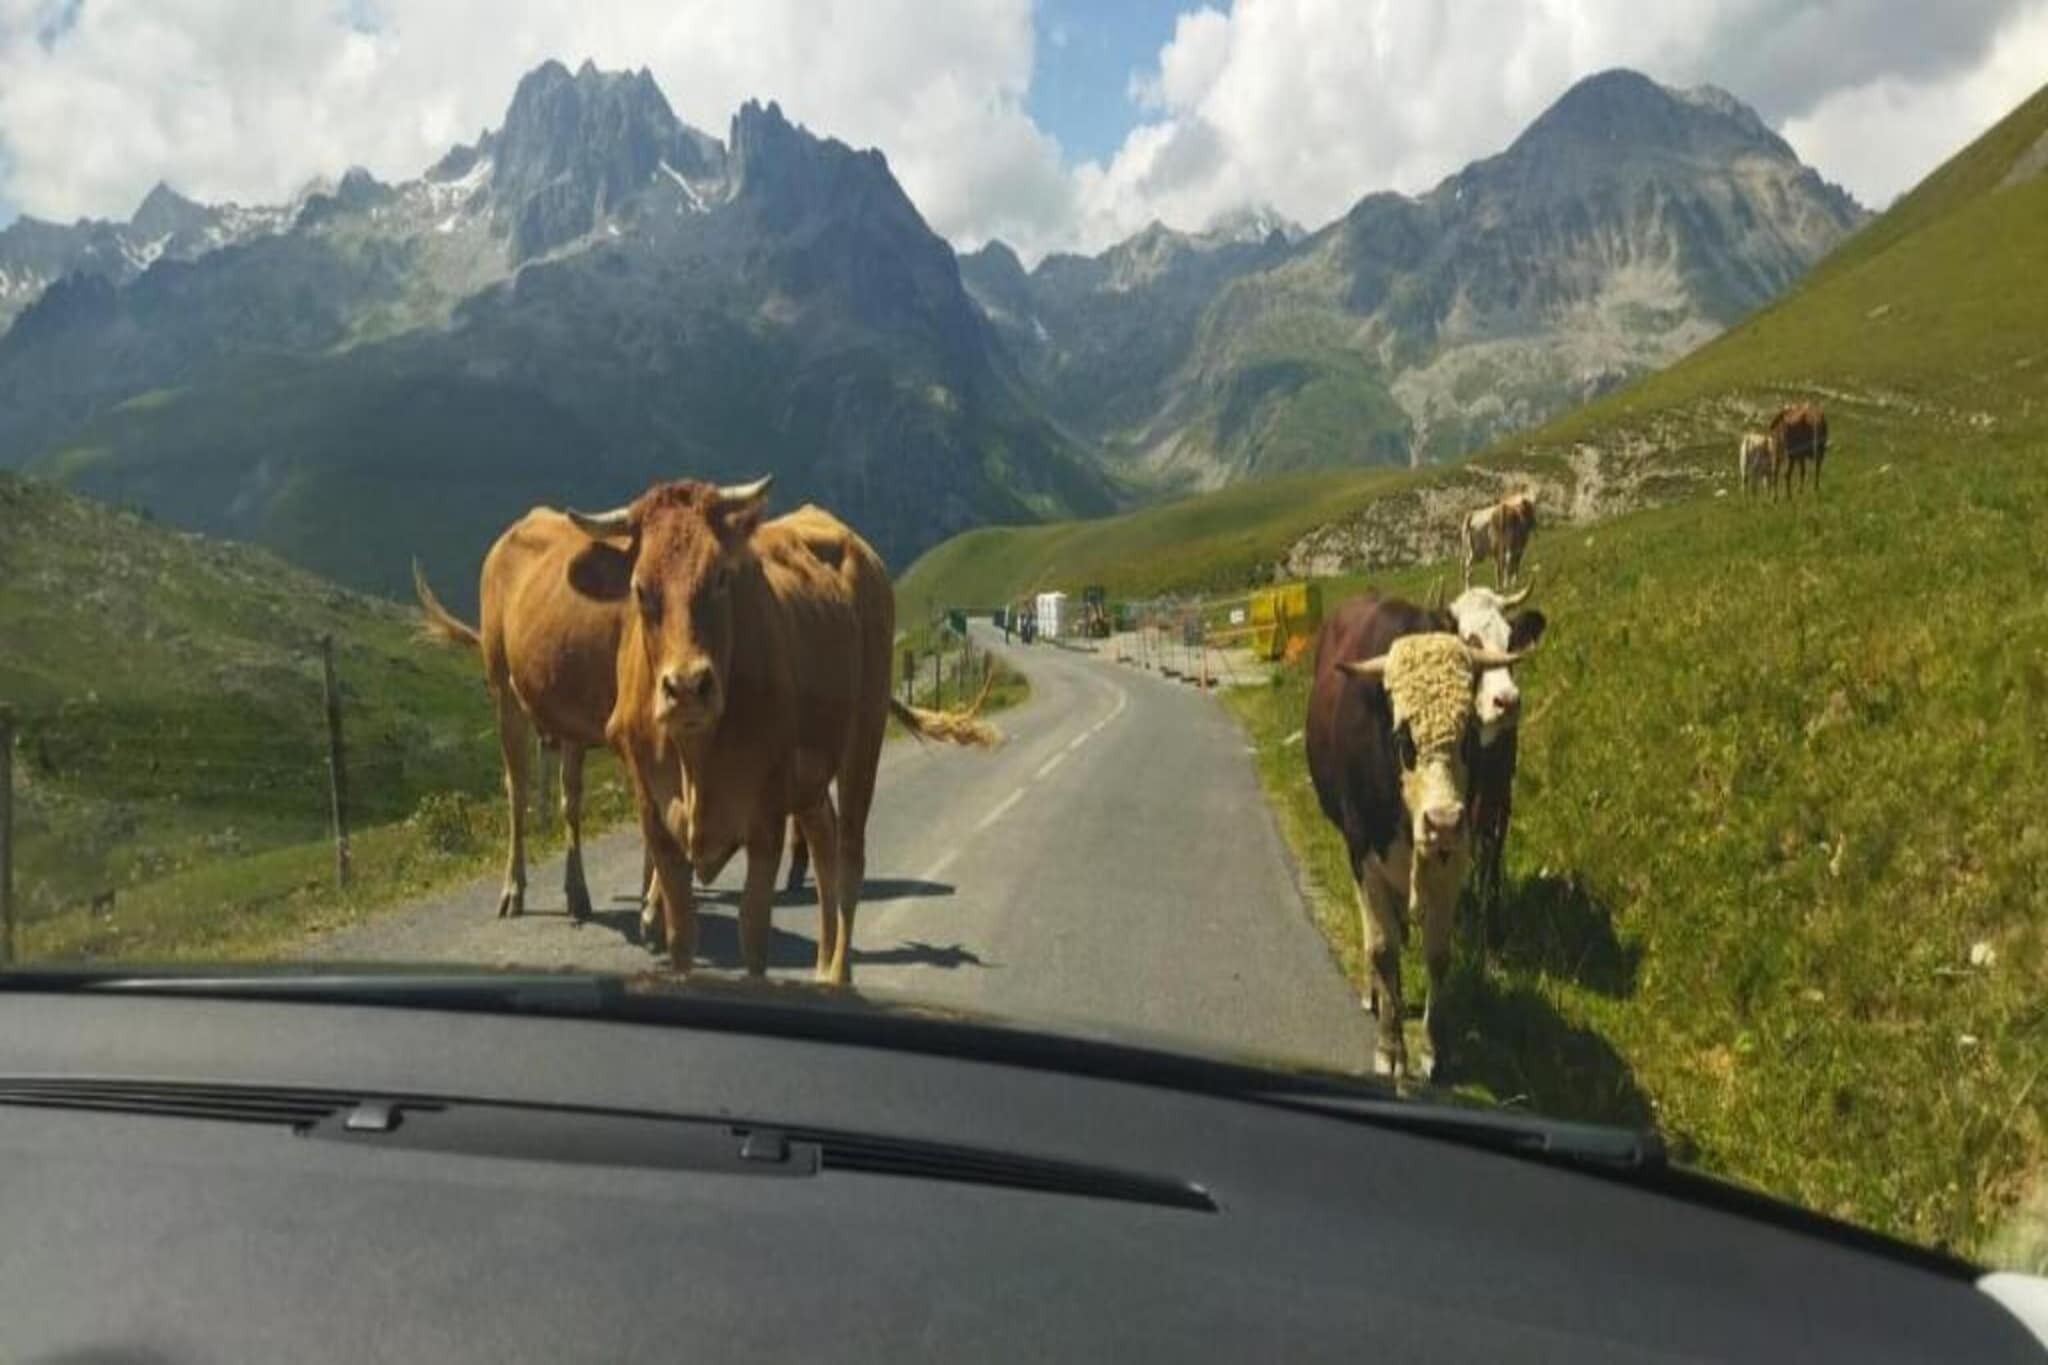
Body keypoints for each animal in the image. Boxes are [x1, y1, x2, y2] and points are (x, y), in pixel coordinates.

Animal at [413, 512, 634, 922]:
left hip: (567, 716)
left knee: (569, 797)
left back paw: (576, 891)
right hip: (505, 692)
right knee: (517, 790)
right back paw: (514, 889)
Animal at [563, 477, 996, 984]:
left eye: (721, 577)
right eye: (640, 589)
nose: (687, 687)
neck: (696, 759)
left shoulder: (765, 814)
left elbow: (753, 931)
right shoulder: (655, 814)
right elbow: (681, 934)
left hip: (863, 737)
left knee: (849, 856)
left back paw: (838, 974)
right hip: (808, 778)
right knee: (824, 841)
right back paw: (822, 965)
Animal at [1306, 595, 1533, 1078]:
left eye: (1468, 732)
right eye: (1403, 736)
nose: (1443, 820)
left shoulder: (1456, 854)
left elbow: (1438, 953)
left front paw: (1435, 1048)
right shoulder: (1364, 853)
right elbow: (1382, 948)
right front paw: (1391, 1046)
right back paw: (1375, 993)